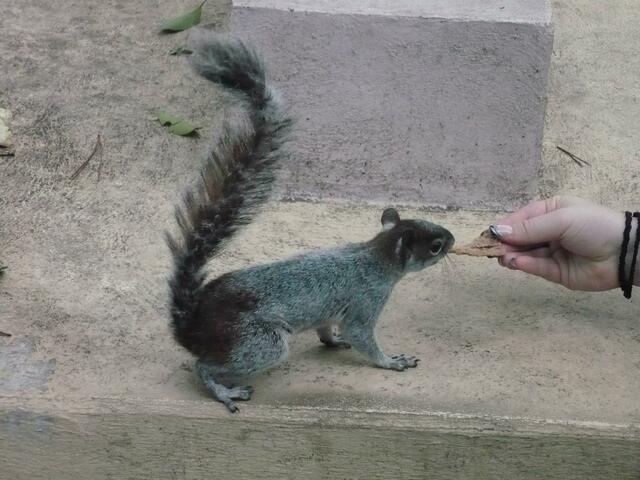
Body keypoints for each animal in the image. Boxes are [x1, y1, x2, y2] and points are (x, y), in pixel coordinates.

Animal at [167, 32, 455, 412]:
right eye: (434, 246)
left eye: (428, 221)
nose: (452, 240)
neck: (375, 256)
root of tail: (191, 328)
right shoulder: (366, 299)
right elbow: (362, 336)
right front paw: (392, 362)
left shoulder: (332, 311)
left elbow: (327, 329)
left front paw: (332, 341)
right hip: (260, 343)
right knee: (203, 365)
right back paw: (224, 391)